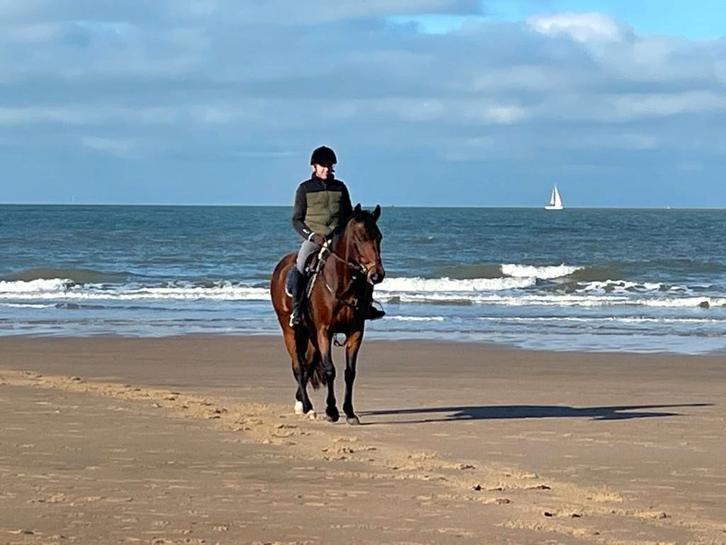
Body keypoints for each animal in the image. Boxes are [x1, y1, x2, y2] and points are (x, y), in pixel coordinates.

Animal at [270, 204, 385, 424]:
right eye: (359, 238)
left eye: (379, 237)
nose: (377, 274)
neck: (342, 283)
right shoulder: (325, 331)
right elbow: (329, 370)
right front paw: (331, 411)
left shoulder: (356, 332)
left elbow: (350, 372)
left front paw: (349, 412)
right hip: (290, 330)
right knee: (298, 367)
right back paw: (307, 407)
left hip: (311, 335)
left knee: (307, 365)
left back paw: (301, 404)